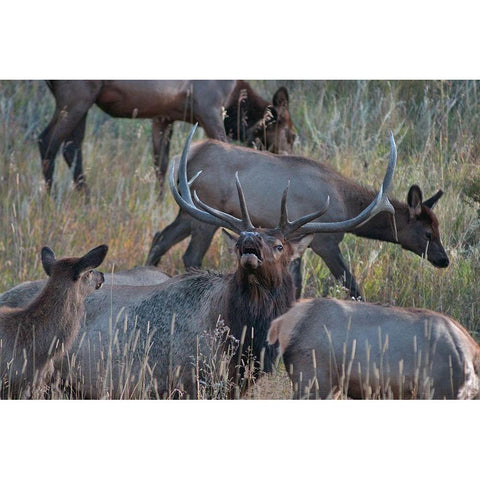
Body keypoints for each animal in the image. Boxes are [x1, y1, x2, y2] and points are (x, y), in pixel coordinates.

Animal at [39, 80, 294, 197]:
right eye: (292, 135)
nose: (287, 159)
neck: (235, 102)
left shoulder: (163, 117)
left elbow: (161, 166)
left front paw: (160, 202)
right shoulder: (209, 107)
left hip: (84, 100)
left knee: (71, 148)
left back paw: (86, 198)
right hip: (76, 96)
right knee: (47, 140)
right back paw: (50, 200)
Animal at [146, 135, 446, 300]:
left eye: (438, 227)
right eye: (427, 233)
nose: (444, 259)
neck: (346, 204)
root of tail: (185, 158)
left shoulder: (300, 244)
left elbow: (297, 283)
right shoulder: (326, 242)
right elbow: (351, 285)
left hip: (187, 211)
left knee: (160, 237)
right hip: (204, 214)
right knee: (190, 256)